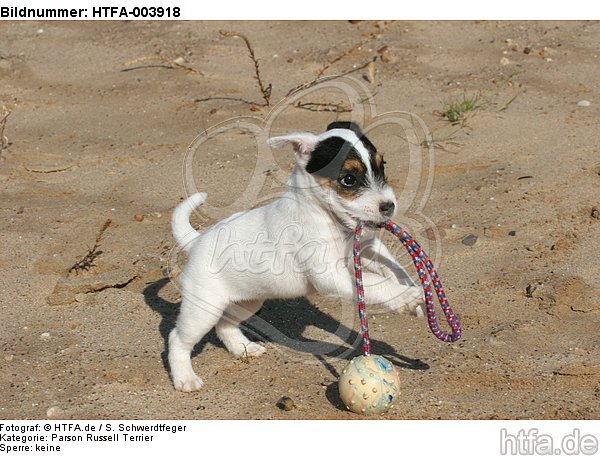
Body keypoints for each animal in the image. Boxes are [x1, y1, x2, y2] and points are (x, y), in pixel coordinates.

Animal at [169, 121, 422, 392]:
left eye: (382, 166)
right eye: (349, 179)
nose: (389, 206)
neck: (324, 215)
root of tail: (196, 241)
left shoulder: (367, 249)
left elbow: (394, 268)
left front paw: (413, 294)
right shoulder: (331, 276)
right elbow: (376, 284)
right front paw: (405, 296)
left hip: (247, 301)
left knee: (225, 325)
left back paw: (243, 348)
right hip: (202, 309)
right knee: (178, 339)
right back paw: (185, 378)